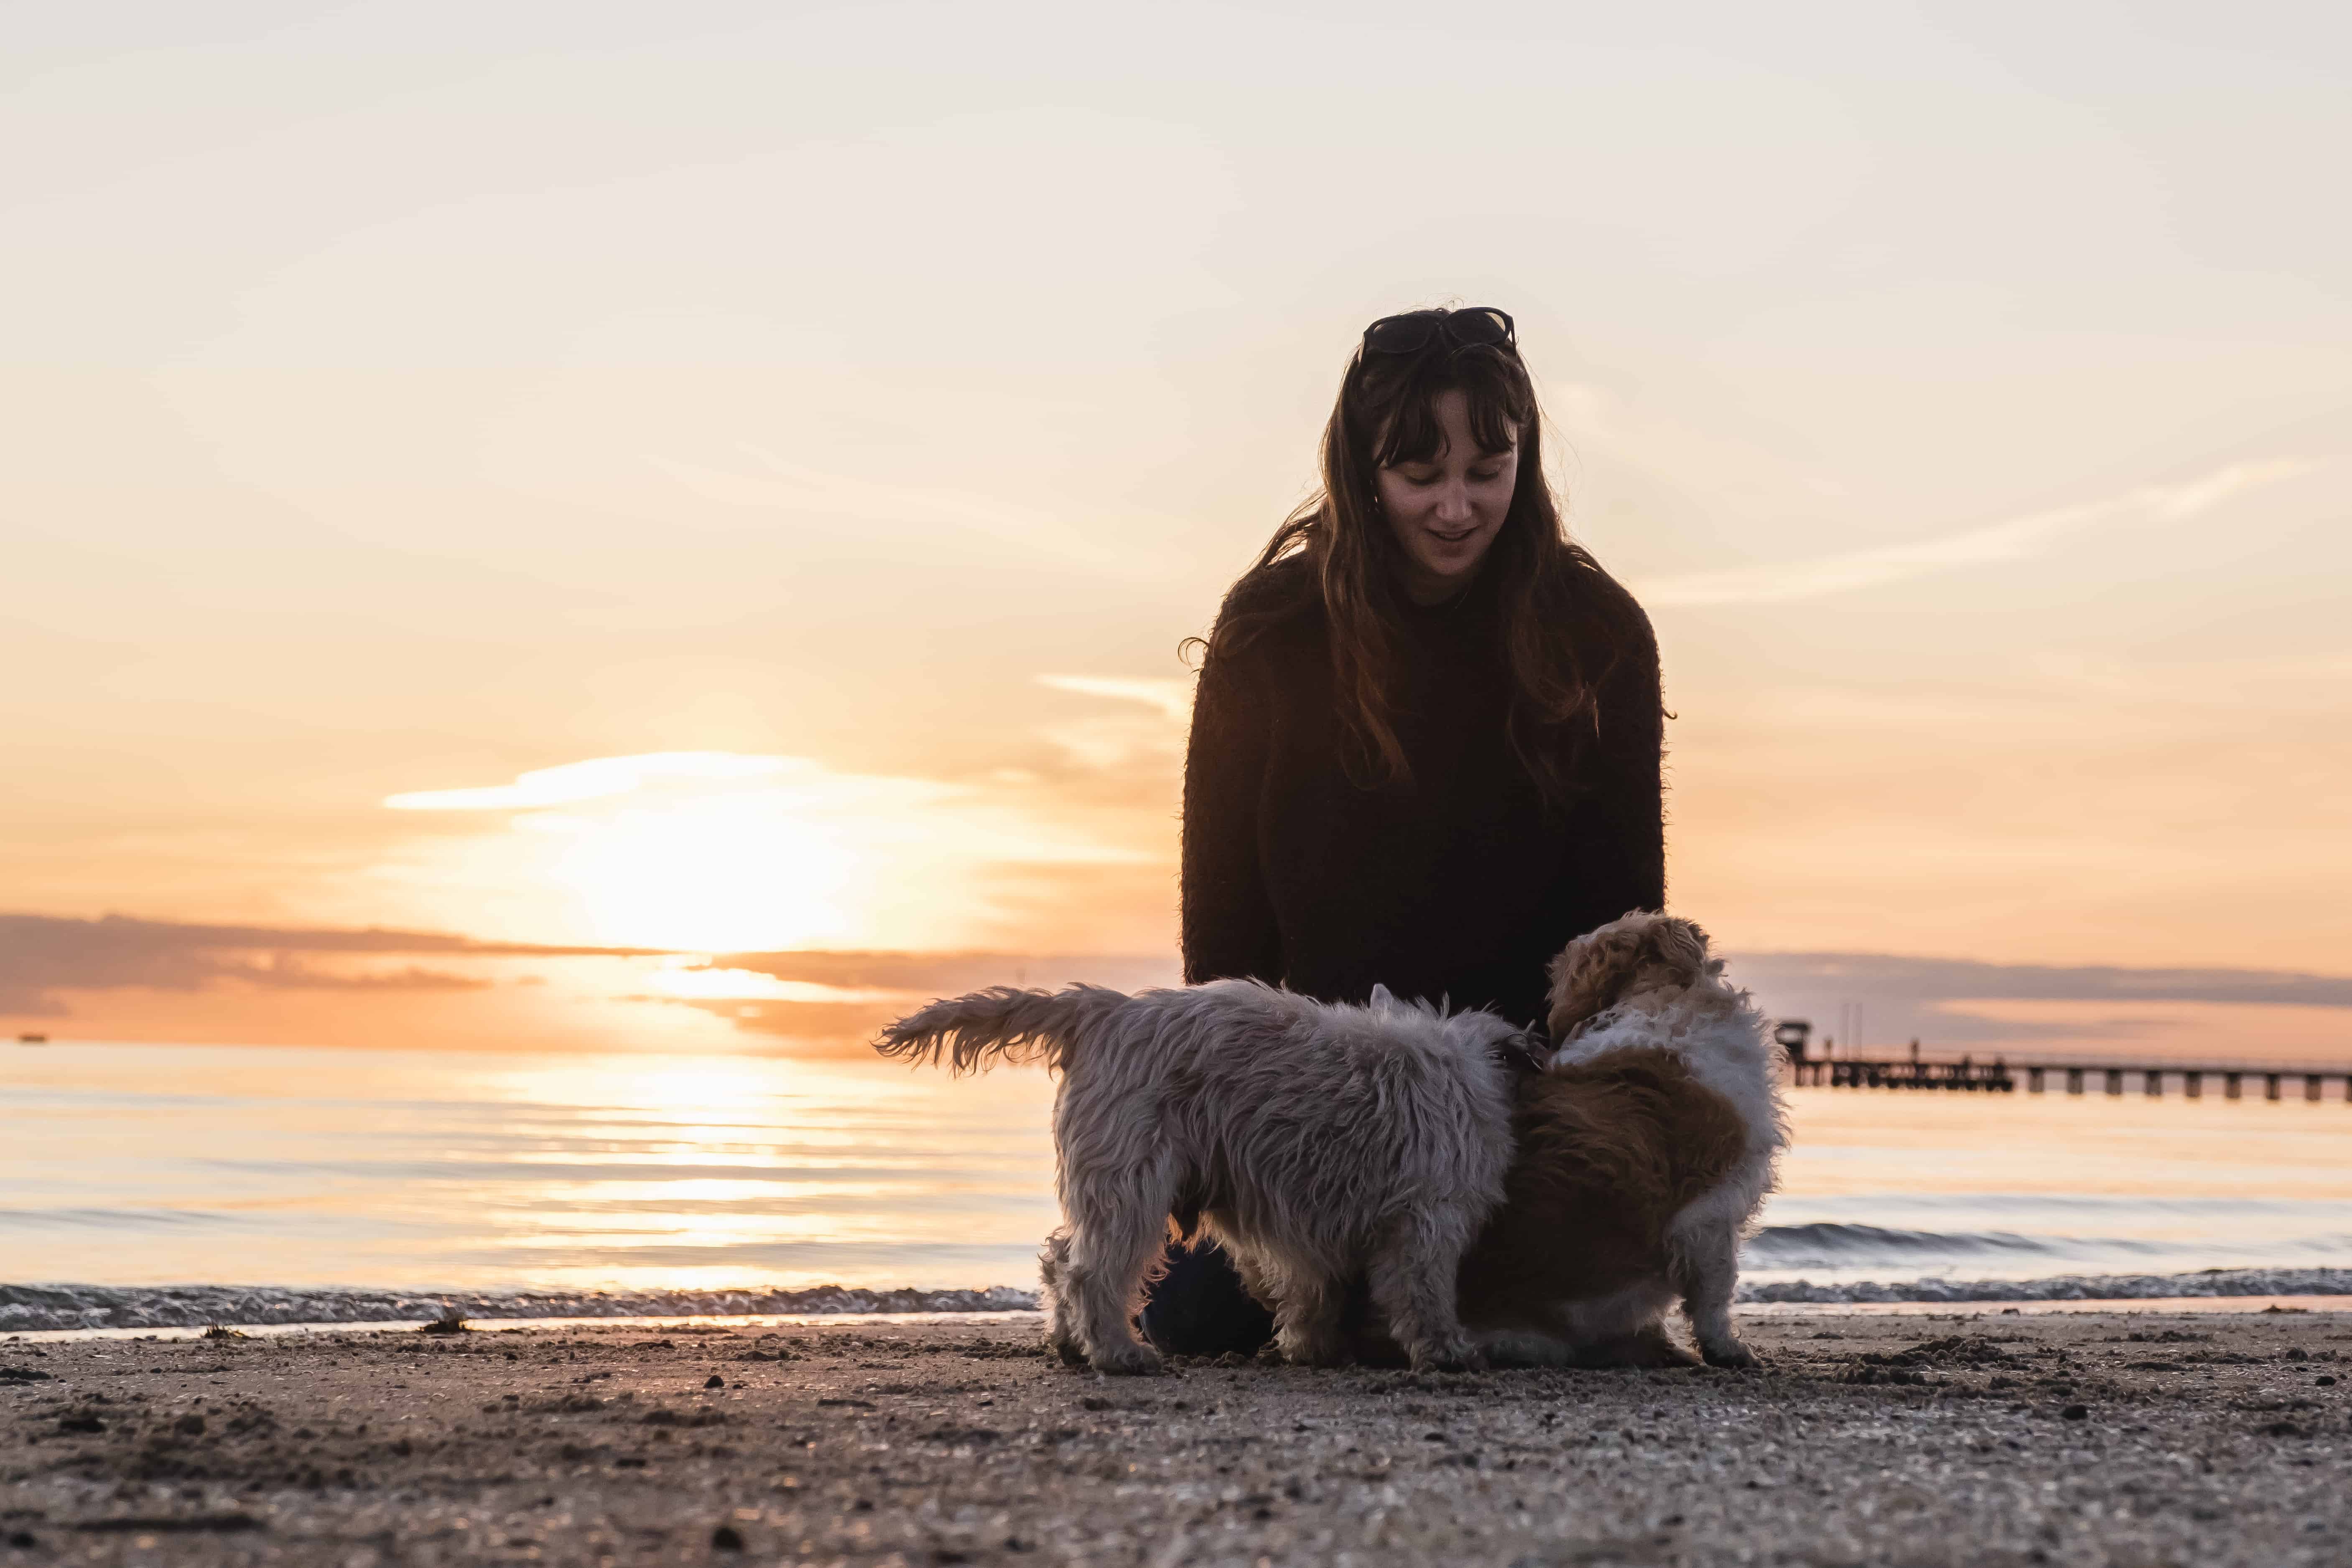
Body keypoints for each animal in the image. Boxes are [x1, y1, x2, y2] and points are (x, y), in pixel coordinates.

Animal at [879, 982, 1524, 1373]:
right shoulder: (1427, 1212)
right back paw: (1117, 1352)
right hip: (1133, 1176)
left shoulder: (1304, 1221)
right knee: (1093, 1269)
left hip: (1112, 1175)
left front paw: (1308, 1345)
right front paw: (1446, 1348)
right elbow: (1422, 1289)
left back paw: (1070, 1341)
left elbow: (1310, 1287)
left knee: (1062, 1254)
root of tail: (1104, 1010)